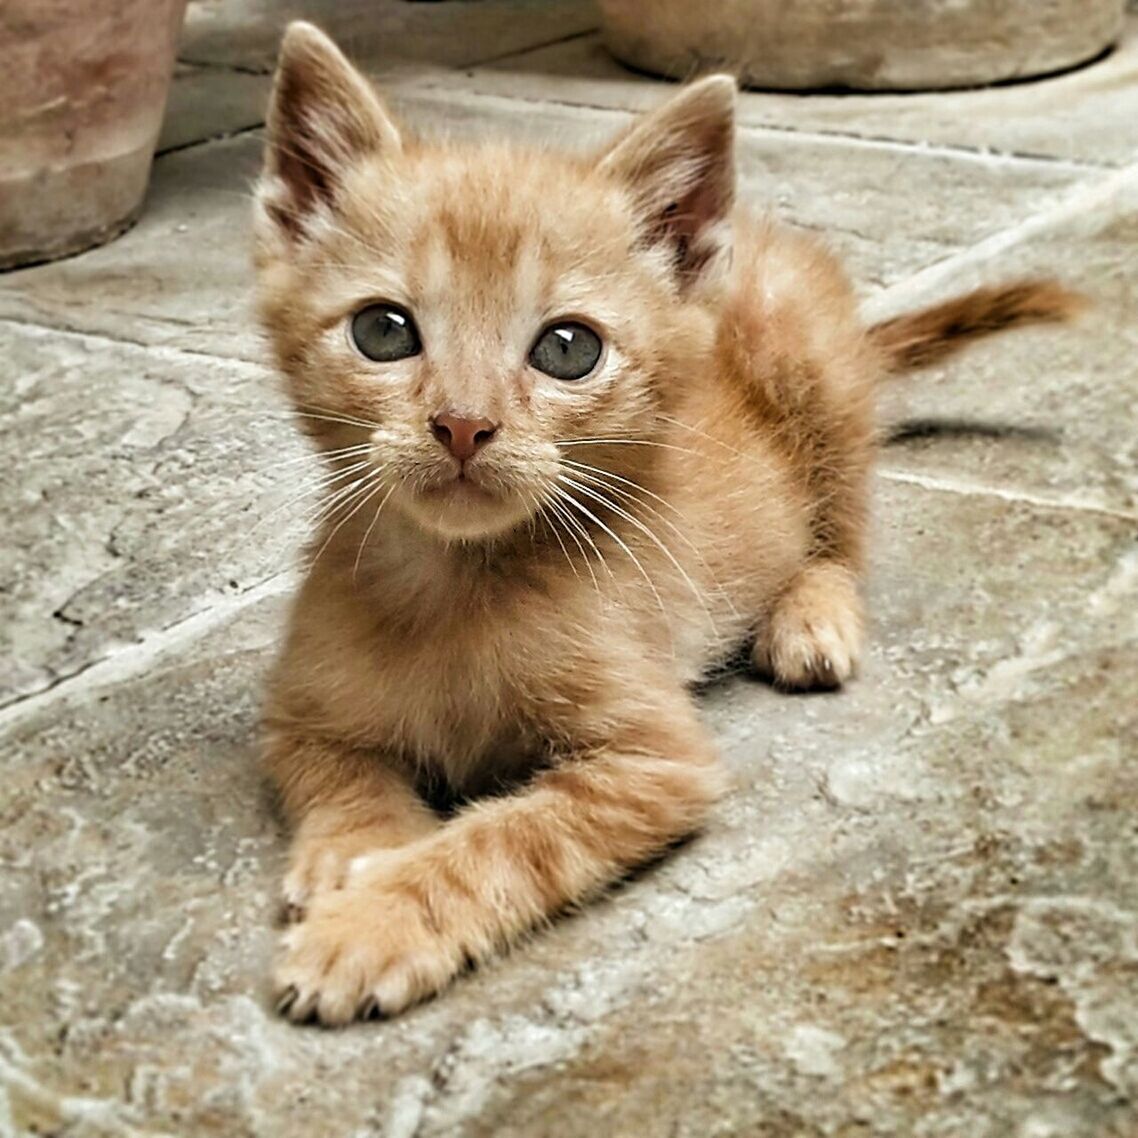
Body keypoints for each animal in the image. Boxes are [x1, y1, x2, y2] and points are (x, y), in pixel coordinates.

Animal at [253, 22, 1078, 1028]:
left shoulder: (656, 764)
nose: (462, 424)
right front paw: (355, 855)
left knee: (841, 537)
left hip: (812, 366)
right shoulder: (298, 715)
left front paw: (377, 922)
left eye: (568, 348)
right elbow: (340, 773)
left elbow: (505, 839)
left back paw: (811, 615)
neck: (455, 581)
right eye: (383, 331)